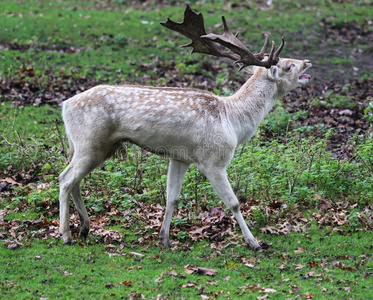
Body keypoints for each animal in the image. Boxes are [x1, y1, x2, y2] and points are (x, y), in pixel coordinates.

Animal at [58, 5, 310, 251]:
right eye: (288, 66)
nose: (307, 62)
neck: (233, 121)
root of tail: (65, 105)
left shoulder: (180, 157)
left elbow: (172, 197)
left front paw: (164, 239)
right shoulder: (213, 160)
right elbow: (234, 203)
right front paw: (254, 243)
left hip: (96, 147)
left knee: (75, 180)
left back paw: (85, 228)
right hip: (90, 142)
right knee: (65, 179)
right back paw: (66, 234)